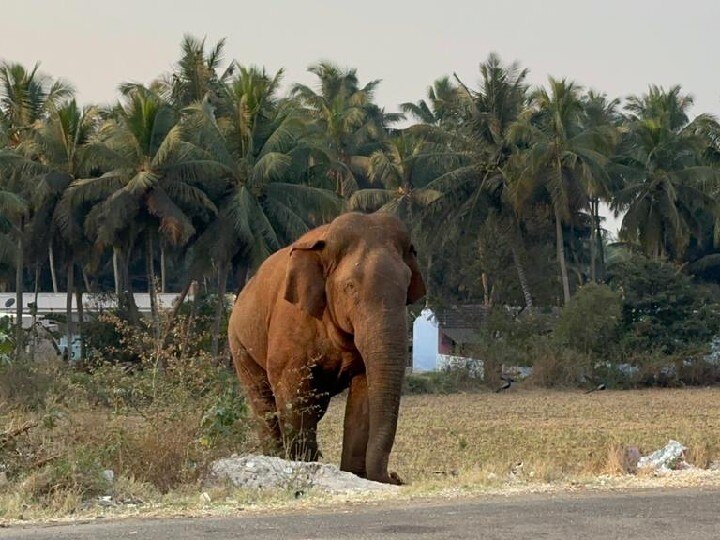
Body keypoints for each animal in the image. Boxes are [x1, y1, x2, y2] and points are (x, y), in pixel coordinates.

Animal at [228, 212, 424, 486]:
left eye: (406, 286)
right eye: (350, 286)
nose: (394, 477)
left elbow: (363, 393)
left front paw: (354, 475)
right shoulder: (290, 323)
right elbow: (293, 392)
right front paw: (302, 466)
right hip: (239, 345)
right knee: (264, 405)